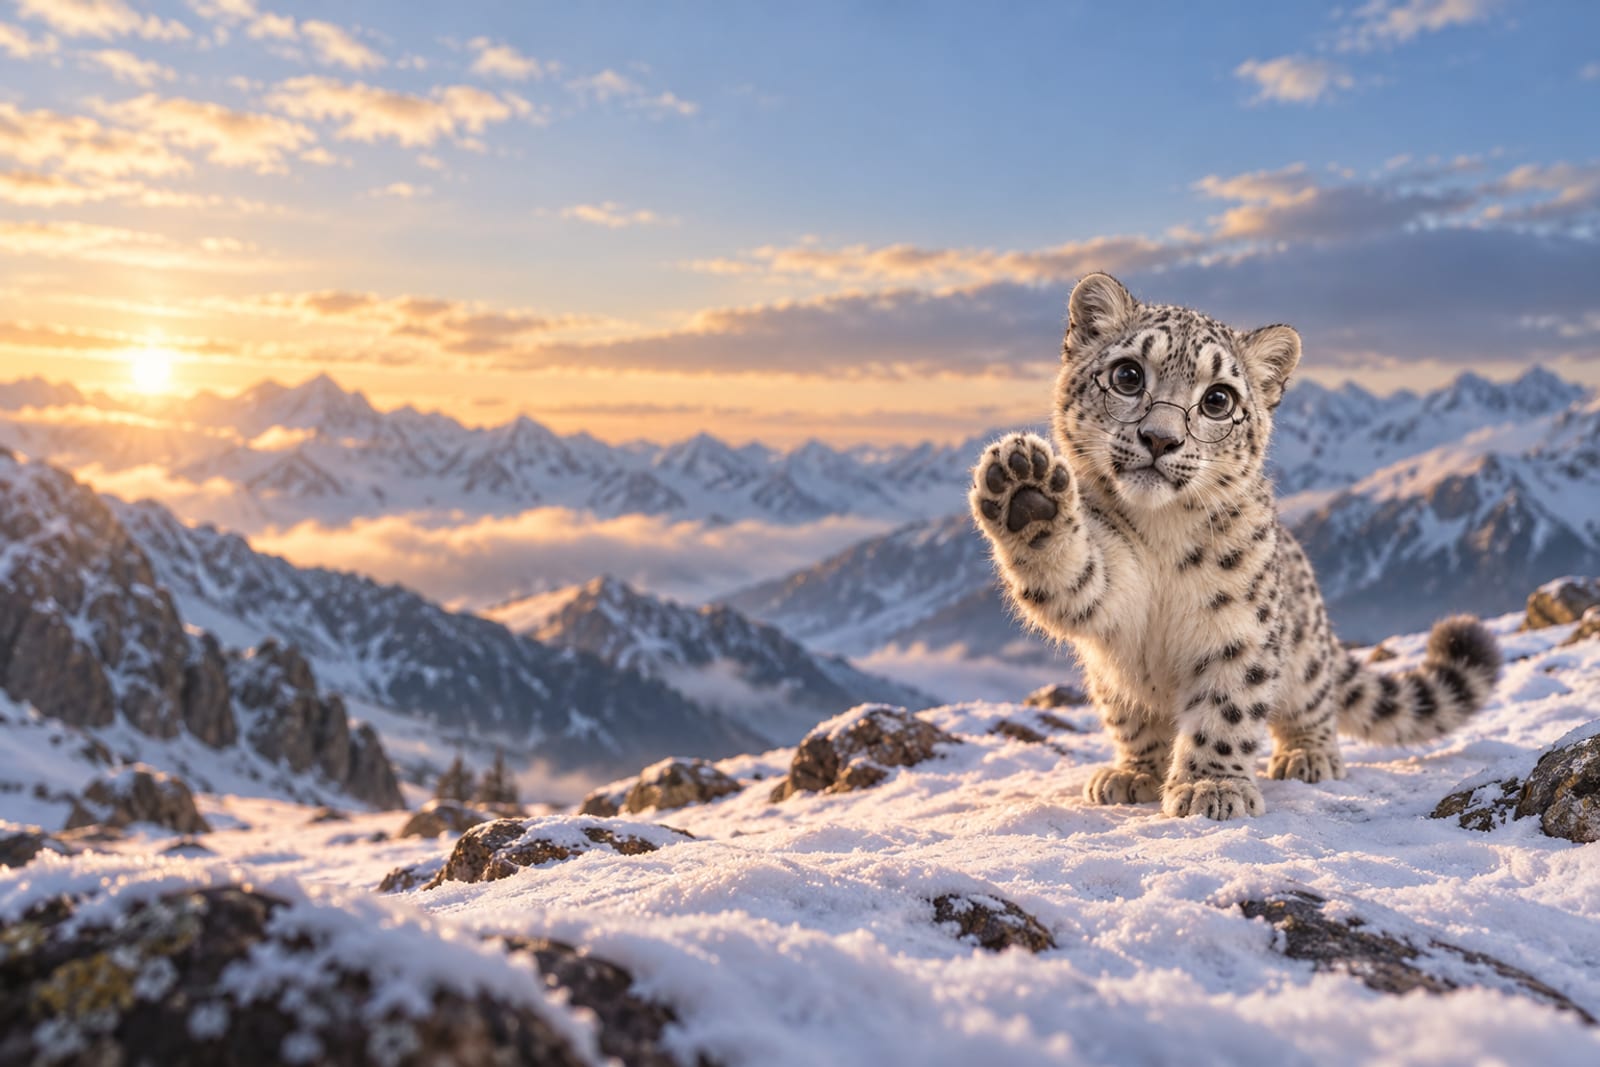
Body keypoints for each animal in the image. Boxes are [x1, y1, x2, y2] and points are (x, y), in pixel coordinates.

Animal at [969, 272, 1501, 820]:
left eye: (1218, 399)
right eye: (1128, 375)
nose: (1159, 439)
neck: (1161, 536)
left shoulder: (1237, 625)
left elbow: (1226, 706)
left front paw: (1212, 785)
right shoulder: (1111, 588)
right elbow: (1074, 575)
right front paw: (1026, 490)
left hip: (1305, 655)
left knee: (1314, 700)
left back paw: (1307, 755)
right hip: (1110, 679)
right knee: (1136, 721)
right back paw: (1133, 773)